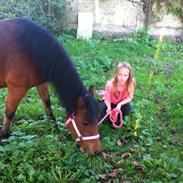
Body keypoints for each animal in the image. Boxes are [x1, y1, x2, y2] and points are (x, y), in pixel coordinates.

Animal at [0, 19, 100, 154]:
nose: (97, 151)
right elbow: (9, 113)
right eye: (85, 123)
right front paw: (4, 135)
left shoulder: (41, 83)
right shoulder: (16, 89)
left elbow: (47, 104)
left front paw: (55, 126)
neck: (32, 49)